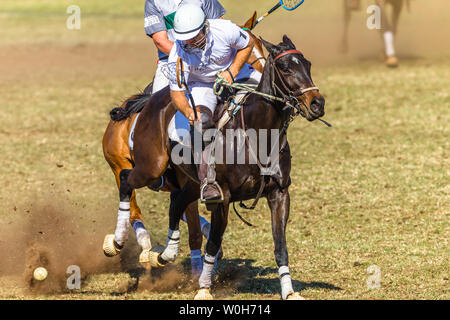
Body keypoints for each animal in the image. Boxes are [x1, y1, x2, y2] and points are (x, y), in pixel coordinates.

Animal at [102, 11, 266, 276]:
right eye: (250, 59)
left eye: (263, 48)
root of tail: (125, 108)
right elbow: (194, 232)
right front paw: (196, 271)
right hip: (120, 165)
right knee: (133, 205)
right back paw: (132, 244)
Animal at [118, 35, 326, 300]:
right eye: (284, 67)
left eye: (307, 64)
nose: (317, 104)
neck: (257, 134)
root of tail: (153, 99)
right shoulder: (222, 197)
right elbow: (214, 242)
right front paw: (204, 288)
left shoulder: (279, 194)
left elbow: (281, 246)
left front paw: (289, 292)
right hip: (151, 167)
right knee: (126, 178)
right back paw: (116, 242)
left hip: (192, 182)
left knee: (176, 202)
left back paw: (165, 254)